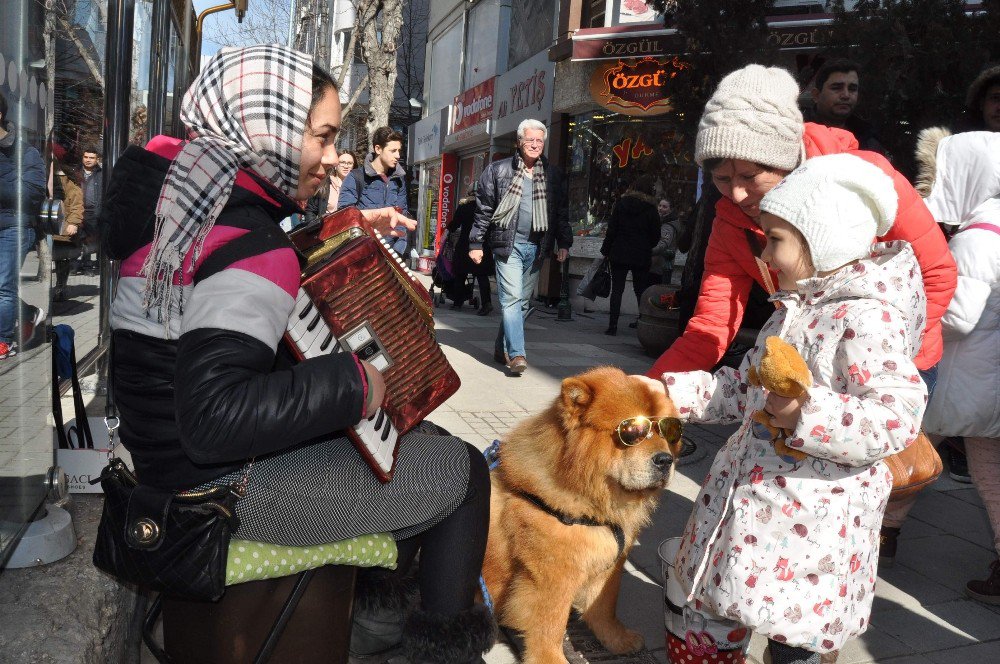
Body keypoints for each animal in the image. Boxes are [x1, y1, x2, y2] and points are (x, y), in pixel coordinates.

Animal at [480, 366, 684, 664]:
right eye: (633, 431)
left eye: (669, 433)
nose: (665, 460)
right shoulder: (553, 577)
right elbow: (550, 626)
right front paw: (551, 659)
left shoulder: (609, 564)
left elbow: (604, 606)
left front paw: (618, 640)